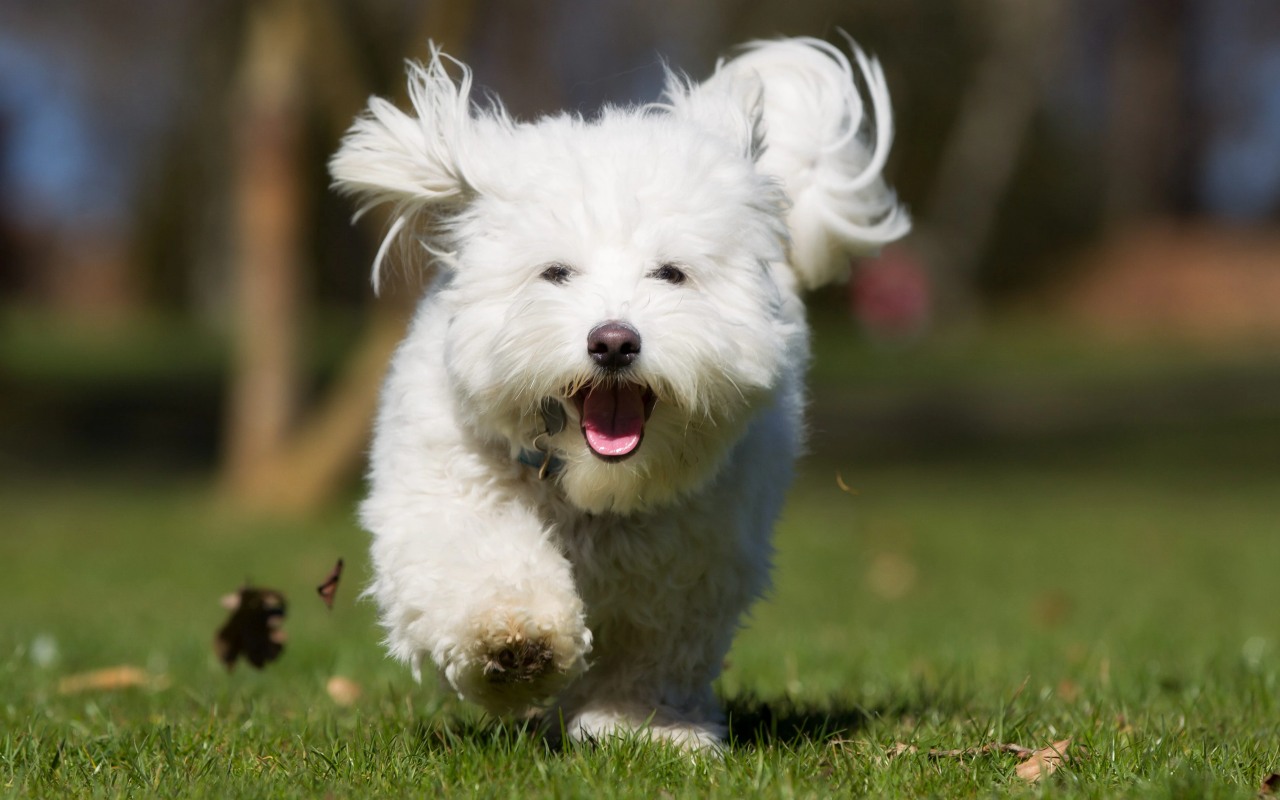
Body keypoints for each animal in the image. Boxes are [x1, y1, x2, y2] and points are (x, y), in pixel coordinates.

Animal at [330, 35, 911, 747]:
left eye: (671, 273)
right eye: (555, 272)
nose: (612, 342)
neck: (594, 488)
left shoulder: (693, 558)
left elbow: (654, 647)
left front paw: (643, 725)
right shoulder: (444, 494)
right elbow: (479, 562)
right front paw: (515, 640)